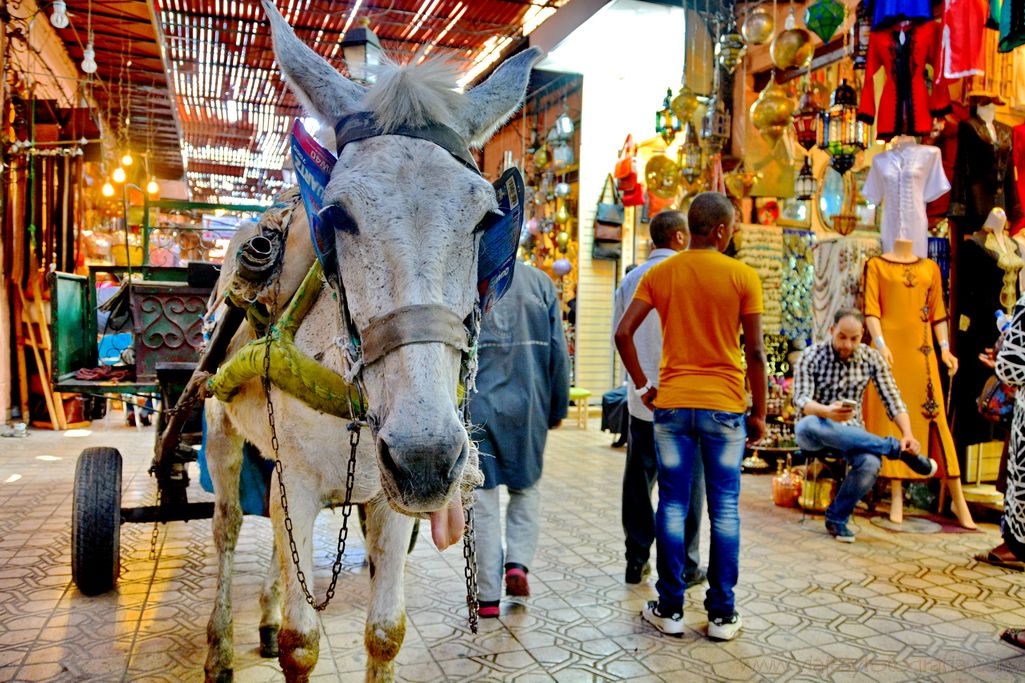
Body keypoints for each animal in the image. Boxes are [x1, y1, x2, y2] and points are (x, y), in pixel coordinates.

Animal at [197, 2, 537, 676]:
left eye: (487, 219)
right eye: (337, 216)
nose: (427, 459)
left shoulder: (385, 500)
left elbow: (385, 632)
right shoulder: (302, 487)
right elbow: (301, 645)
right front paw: (280, 634)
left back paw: (264, 616)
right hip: (220, 425)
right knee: (227, 528)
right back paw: (220, 645)